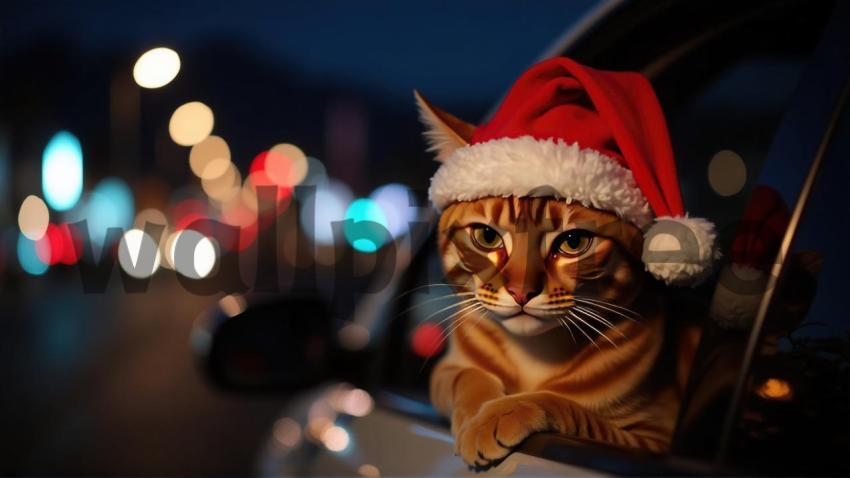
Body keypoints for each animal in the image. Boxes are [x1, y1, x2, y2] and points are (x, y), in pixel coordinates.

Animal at [414, 91, 700, 468]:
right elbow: (466, 375)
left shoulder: (653, 438)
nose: (521, 292)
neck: (534, 356)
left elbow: (561, 404)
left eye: (573, 242)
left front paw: (500, 414)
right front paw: (477, 410)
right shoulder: (446, 369)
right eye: (487, 237)